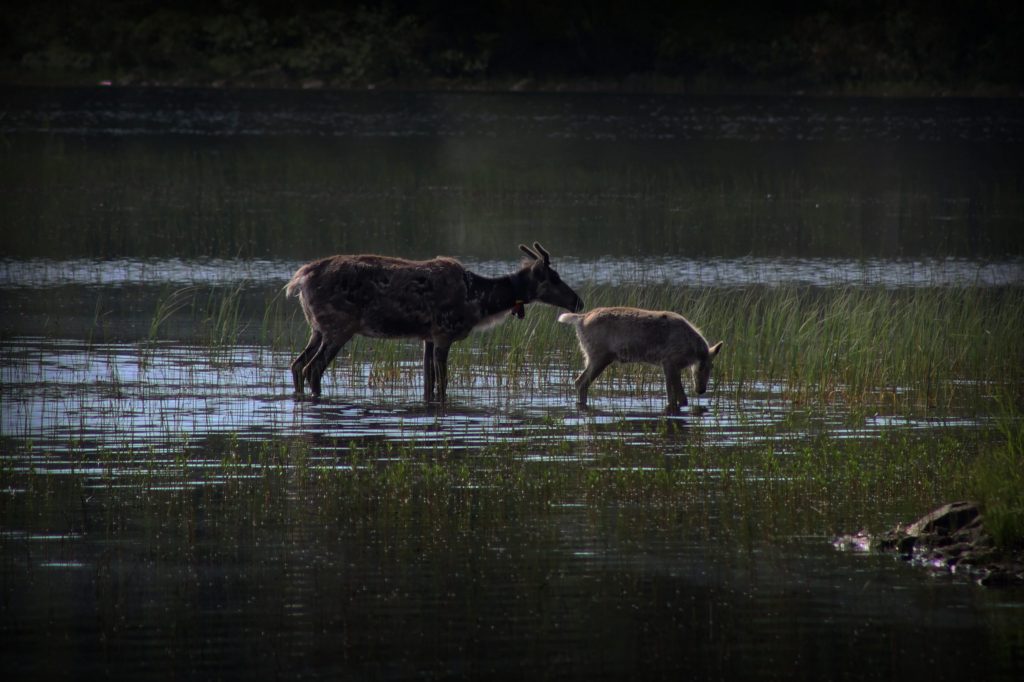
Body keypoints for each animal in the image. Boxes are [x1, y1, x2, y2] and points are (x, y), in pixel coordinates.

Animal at [561, 307, 720, 411]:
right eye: (701, 367)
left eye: (712, 367)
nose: (701, 390)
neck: (692, 351)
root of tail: (580, 319)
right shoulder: (670, 362)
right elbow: (680, 398)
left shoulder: (669, 365)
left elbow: (673, 397)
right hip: (599, 356)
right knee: (581, 382)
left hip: (593, 356)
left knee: (579, 382)